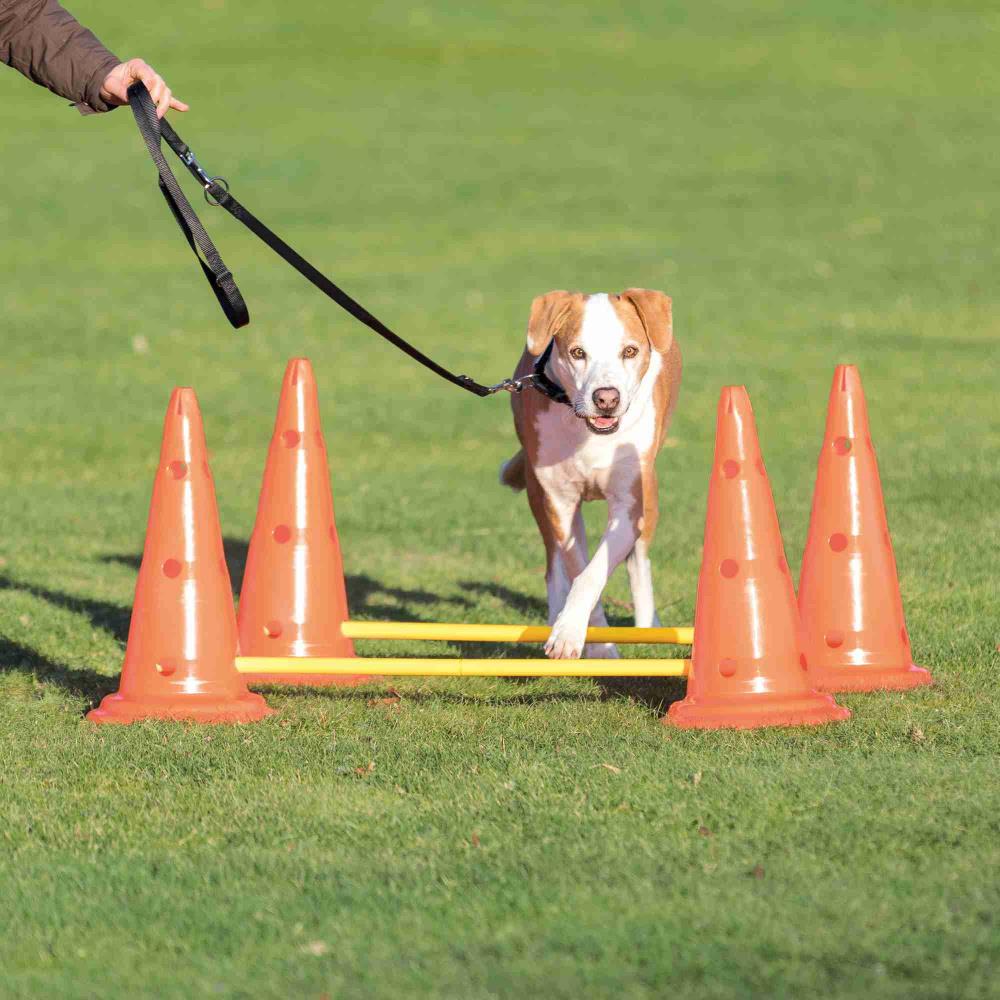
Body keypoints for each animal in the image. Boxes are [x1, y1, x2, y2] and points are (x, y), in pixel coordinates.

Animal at [498, 290, 680, 660]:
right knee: (554, 562)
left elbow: (594, 572)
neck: (589, 433)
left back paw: (648, 626)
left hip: (650, 496)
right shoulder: (560, 501)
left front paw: (576, 633)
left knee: (639, 560)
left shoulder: (629, 505)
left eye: (630, 351)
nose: (606, 398)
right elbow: (578, 567)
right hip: (539, 496)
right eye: (578, 353)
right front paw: (589, 642)